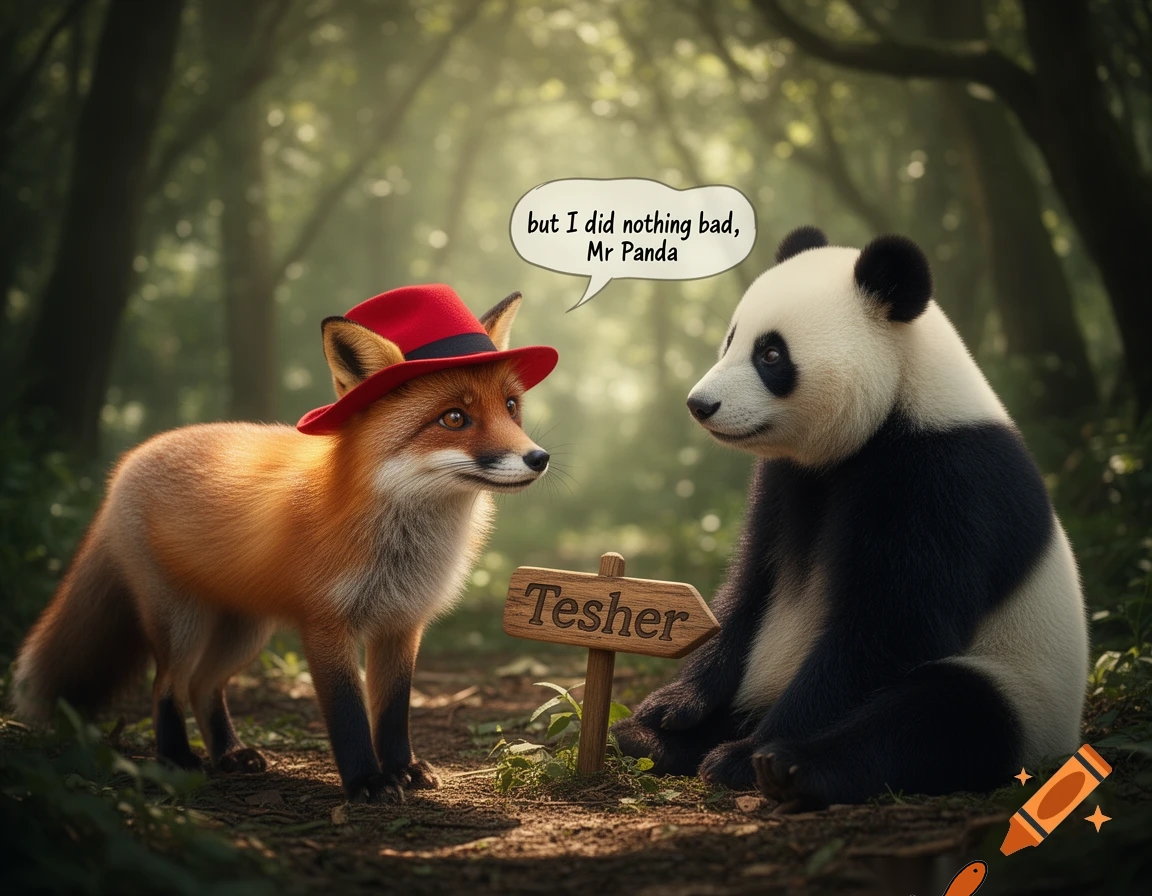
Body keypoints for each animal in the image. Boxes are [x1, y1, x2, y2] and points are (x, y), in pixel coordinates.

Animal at [12, 289, 555, 802]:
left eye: (511, 407)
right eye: (454, 418)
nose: (539, 458)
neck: (401, 543)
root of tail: (128, 461)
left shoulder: (401, 624)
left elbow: (393, 711)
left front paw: (401, 769)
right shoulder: (326, 625)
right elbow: (349, 714)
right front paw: (367, 783)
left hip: (245, 630)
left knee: (203, 686)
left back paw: (229, 752)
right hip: (181, 622)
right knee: (166, 685)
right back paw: (176, 759)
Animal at [612, 226, 1088, 808]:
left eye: (771, 354)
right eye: (730, 340)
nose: (700, 404)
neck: (900, 399)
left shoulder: (946, 480)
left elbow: (891, 627)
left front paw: (755, 752)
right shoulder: (784, 483)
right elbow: (749, 587)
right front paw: (674, 704)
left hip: (1025, 688)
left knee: (943, 714)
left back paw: (777, 765)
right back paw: (648, 738)